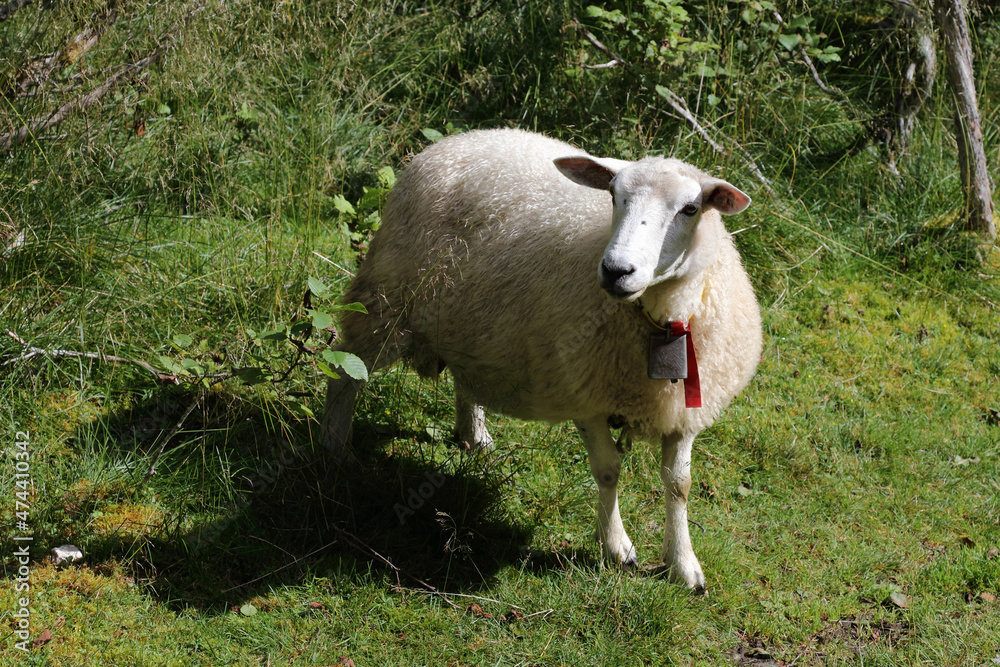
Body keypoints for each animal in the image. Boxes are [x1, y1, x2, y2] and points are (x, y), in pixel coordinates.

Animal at [321, 128, 762, 590]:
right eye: (613, 196)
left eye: (690, 209)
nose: (615, 271)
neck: (660, 319)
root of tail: (461, 138)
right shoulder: (585, 395)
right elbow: (608, 470)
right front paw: (616, 547)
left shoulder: (684, 410)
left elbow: (680, 485)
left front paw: (684, 565)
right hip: (387, 300)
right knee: (344, 369)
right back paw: (336, 449)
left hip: (471, 321)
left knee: (465, 377)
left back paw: (474, 435)